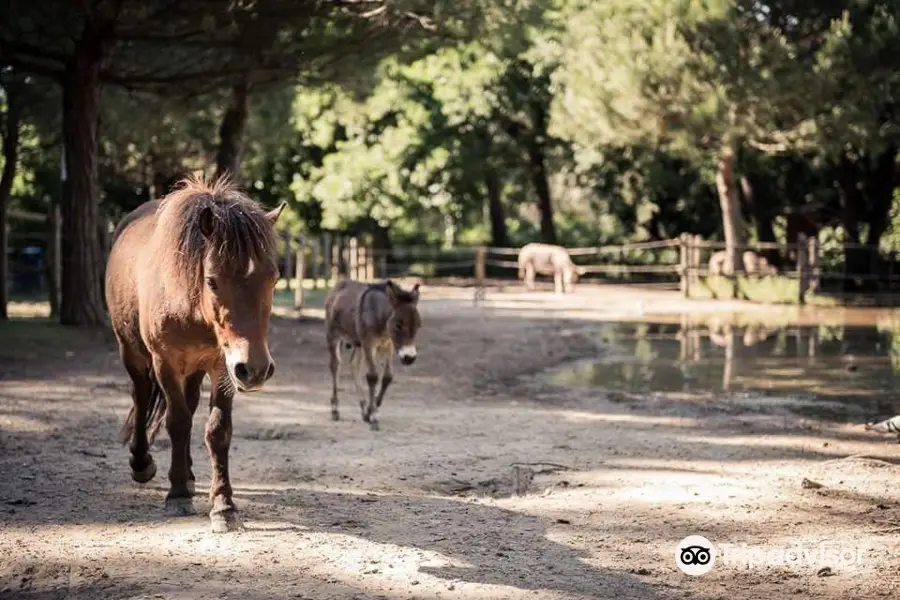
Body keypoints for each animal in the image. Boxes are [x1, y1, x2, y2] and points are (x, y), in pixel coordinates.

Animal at [105, 175, 288, 536]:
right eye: (212, 281)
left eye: (273, 279)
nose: (256, 369)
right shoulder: (166, 362)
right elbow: (176, 422)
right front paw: (176, 496)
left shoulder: (223, 366)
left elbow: (217, 430)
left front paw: (223, 507)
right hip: (131, 352)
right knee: (142, 396)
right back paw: (142, 464)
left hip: (195, 369)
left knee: (187, 407)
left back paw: (188, 476)